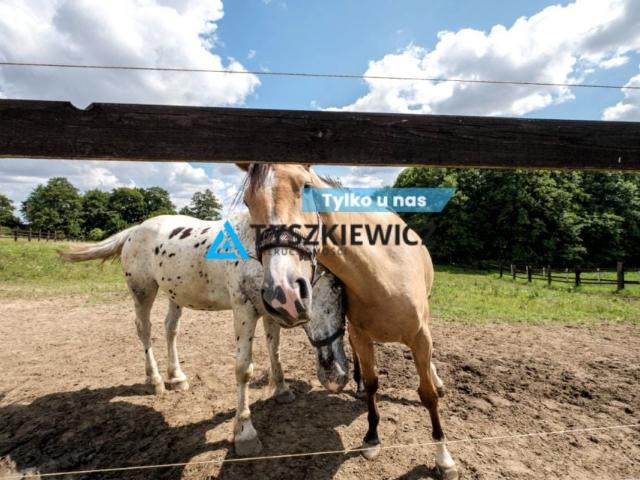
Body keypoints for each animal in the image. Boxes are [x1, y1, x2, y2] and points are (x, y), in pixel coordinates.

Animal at [59, 211, 349, 456]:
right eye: (336, 290)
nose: (339, 376)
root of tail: (133, 230)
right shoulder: (244, 309)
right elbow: (244, 369)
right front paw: (244, 433)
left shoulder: (269, 312)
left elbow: (274, 350)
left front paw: (282, 389)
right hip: (142, 291)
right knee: (144, 330)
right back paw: (155, 381)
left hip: (174, 294)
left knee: (170, 329)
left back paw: (177, 377)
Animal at [240, 164, 457, 479]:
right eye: (247, 201)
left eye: (305, 187)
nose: (283, 292)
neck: (381, 274)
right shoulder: (360, 336)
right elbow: (372, 385)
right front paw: (372, 438)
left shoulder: (420, 337)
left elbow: (428, 395)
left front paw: (443, 458)